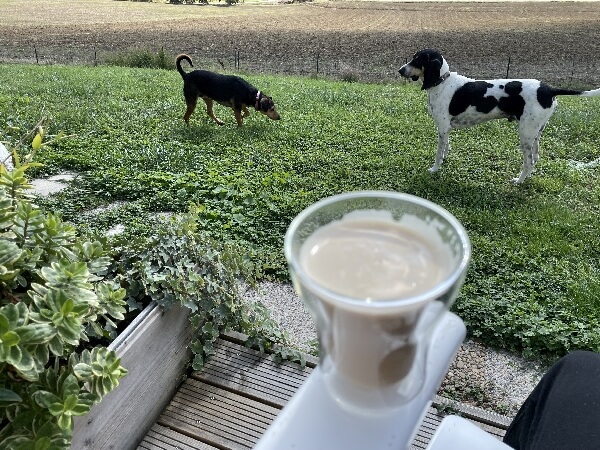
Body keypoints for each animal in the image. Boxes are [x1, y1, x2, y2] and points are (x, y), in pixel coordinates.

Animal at [398, 49, 600, 183]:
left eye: (417, 59)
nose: (400, 70)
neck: (442, 81)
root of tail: (548, 89)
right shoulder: (446, 130)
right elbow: (446, 148)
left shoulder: (442, 127)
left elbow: (439, 152)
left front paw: (435, 169)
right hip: (535, 133)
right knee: (535, 158)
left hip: (525, 135)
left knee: (528, 162)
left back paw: (518, 181)